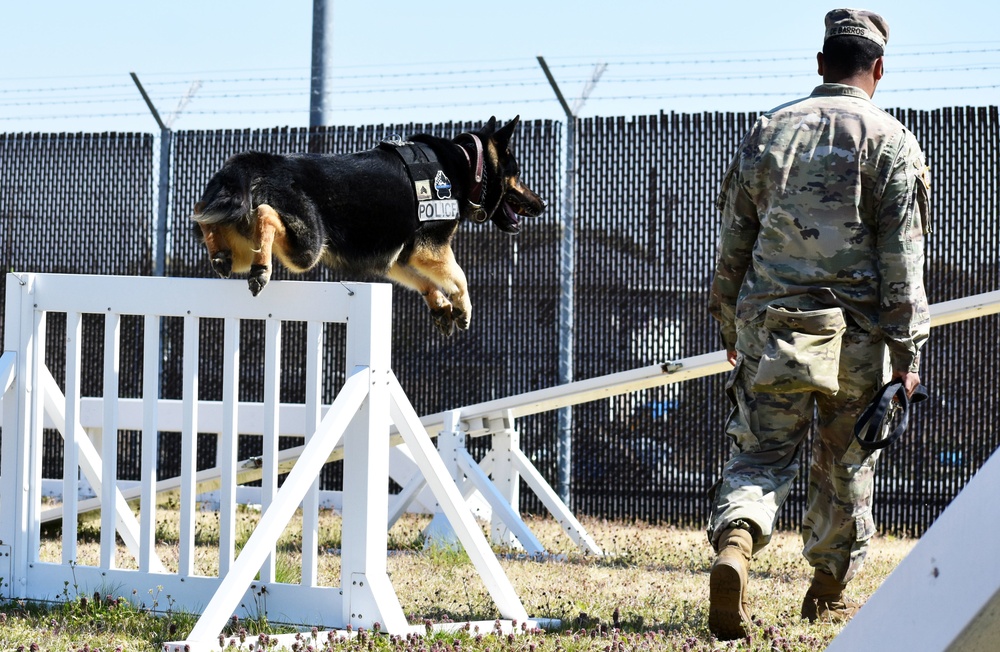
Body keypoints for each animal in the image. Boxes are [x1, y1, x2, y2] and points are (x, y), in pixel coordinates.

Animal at [191, 114, 544, 334]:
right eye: (518, 173)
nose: (542, 205)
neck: (469, 165)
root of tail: (263, 162)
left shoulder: (397, 260)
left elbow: (426, 282)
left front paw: (440, 306)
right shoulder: (431, 251)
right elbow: (460, 279)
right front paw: (463, 307)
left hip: (241, 241)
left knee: (204, 215)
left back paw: (219, 253)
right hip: (307, 247)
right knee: (266, 214)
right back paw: (262, 269)